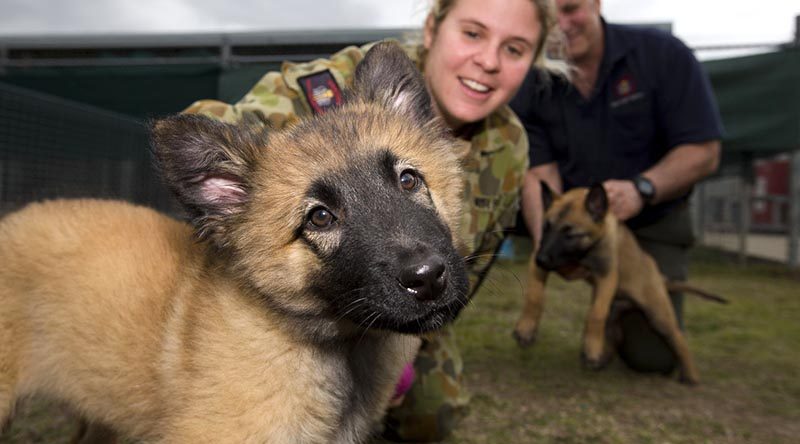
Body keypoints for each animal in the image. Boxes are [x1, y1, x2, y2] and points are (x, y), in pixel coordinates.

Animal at [512, 182, 724, 384]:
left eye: (569, 234)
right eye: (545, 228)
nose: (541, 259)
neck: (586, 252)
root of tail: (658, 276)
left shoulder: (607, 276)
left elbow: (596, 314)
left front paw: (592, 349)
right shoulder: (538, 267)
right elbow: (534, 296)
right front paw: (526, 328)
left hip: (658, 313)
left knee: (678, 338)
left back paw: (691, 376)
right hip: (615, 312)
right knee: (617, 335)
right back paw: (602, 358)